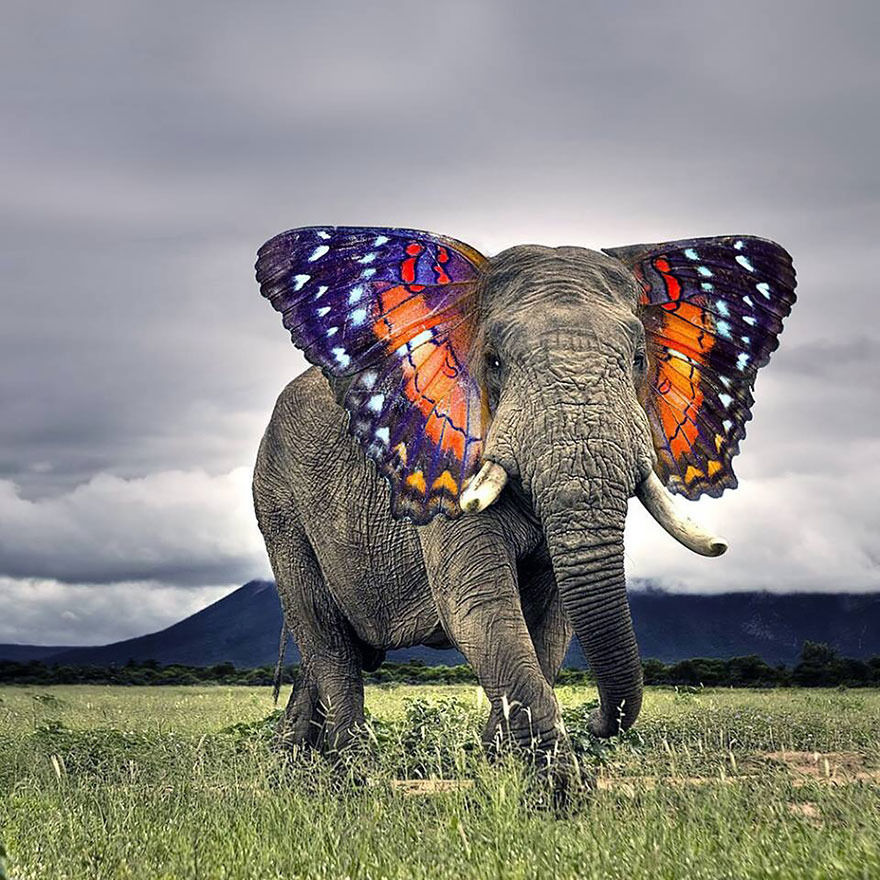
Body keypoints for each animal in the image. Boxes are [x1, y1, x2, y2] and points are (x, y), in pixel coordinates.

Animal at [252, 226, 796, 784]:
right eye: (493, 362)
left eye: (639, 360)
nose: (598, 722)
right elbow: (481, 608)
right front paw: (556, 793)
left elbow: (551, 625)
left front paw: (501, 769)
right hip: (277, 504)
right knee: (326, 637)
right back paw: (348, 773)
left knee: (330, 655)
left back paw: (296, 764)